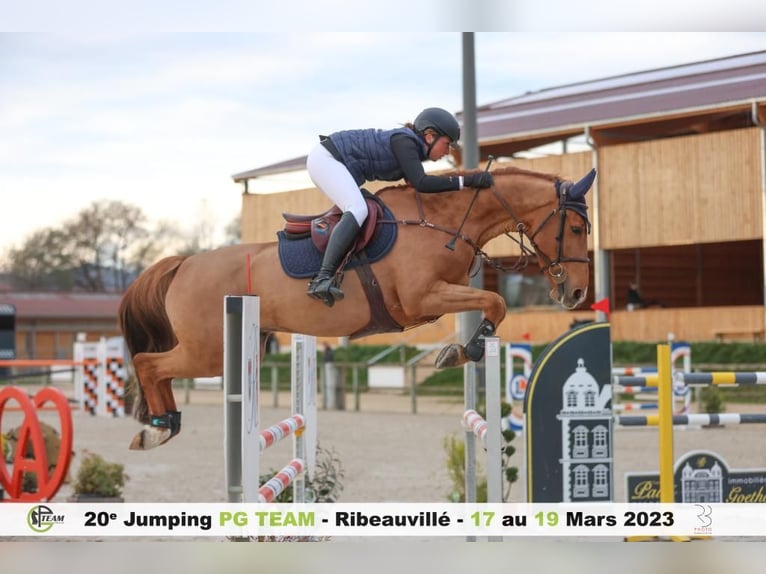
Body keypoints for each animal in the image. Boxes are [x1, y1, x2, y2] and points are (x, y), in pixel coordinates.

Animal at [121, 165, 600, 450]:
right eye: (577, 228)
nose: (577, 294)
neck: (443, 222)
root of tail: (182, 263)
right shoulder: (423, 297)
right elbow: (495, 301)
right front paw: (461, 352)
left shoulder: (436, 298)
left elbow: (491, 304)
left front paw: (460, 350)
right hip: (207, 350)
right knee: (148, 362)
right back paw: (157, 426)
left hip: (229, 347)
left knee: (154, 366)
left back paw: (164, 424)